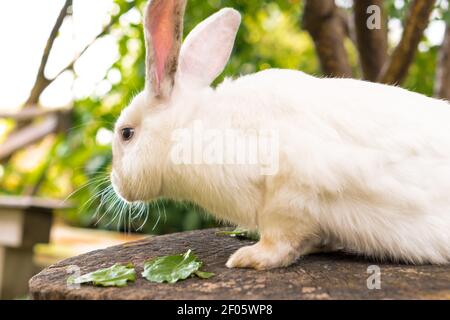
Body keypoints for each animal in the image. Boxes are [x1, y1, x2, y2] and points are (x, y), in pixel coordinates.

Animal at [111, 0, 450, 270]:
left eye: (127, 133)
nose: (116, 184)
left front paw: (249, 259)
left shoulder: (290, 193)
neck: (193, 127)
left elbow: (281, 239)